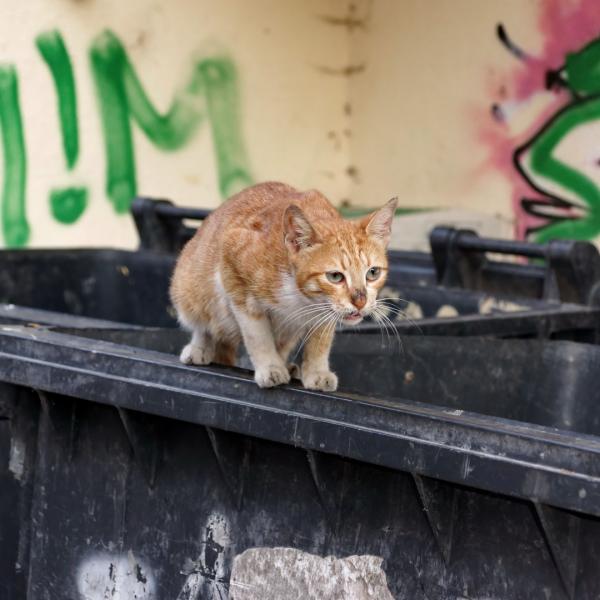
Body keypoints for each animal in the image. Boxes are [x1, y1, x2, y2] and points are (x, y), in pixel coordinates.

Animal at [169, 180, 398, 392]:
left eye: (373, 273)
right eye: (335, 276)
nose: (360, 302)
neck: (301, 298)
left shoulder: (324, 313)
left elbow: (320, 342)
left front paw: (316, 372)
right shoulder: (234, 266)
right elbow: (257, 334)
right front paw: (270, 367)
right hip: (190, 289)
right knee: (204, 325)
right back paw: (199, 348)